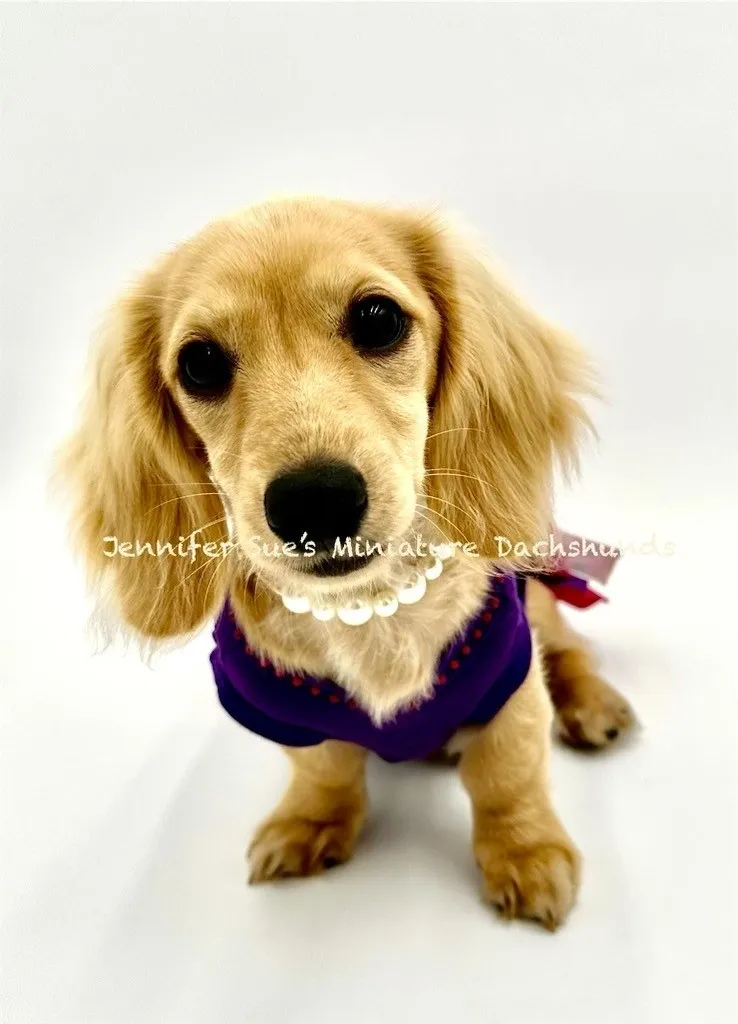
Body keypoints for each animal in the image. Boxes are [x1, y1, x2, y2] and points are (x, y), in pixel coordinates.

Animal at [61, 195, 634, 933]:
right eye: (200, 364)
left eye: (377, 319)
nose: (316, 501)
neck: (370, 613)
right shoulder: (276, 706)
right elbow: (324, 768)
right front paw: (311, 822)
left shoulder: (509, 676)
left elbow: (507, 774)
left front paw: (525, 851)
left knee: (570, 649)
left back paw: (594, 705)